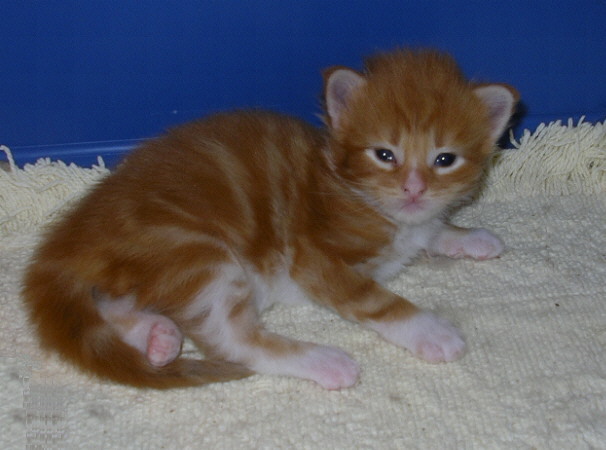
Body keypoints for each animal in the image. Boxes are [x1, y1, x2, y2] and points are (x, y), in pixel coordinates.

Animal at [21, 48, 520, 386]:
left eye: (444, 160)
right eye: (384, 154)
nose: (413, 189)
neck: (351, 189)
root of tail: (77, 231)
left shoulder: (415, 223)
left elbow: (432, 230)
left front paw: (469, 236)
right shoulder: (313, 255)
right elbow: (376, 299)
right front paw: (430, 329)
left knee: (112, 304)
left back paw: (159, 339)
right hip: (197, 252)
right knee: (234, 341)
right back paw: (325, 361)